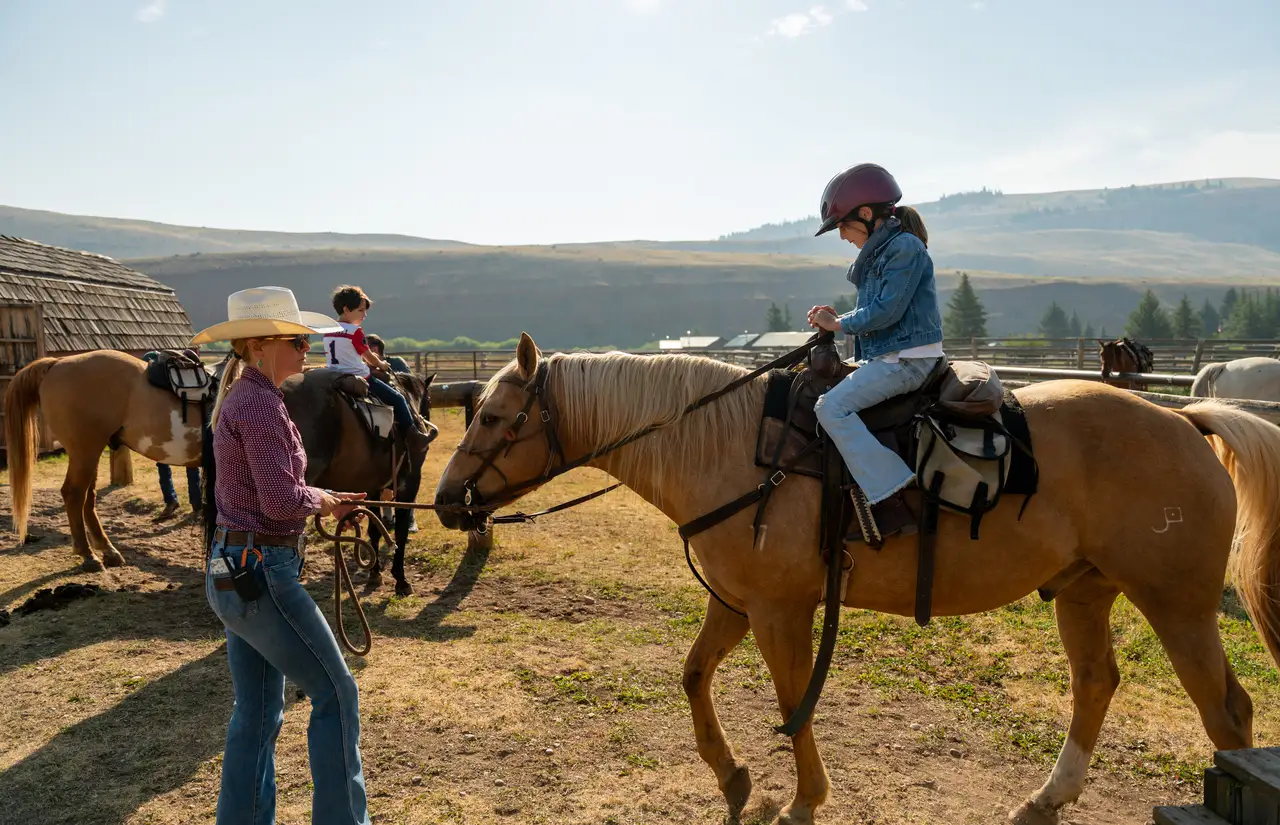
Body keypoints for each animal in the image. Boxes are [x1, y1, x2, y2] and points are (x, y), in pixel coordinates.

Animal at [435, 332, 1280, 823]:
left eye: (492, 417)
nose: (445, 500)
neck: (729, 448)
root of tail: (1185, 420)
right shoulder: (737, 604)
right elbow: (693, 675)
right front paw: (736, 778)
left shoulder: (779, 610)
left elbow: (792, 701)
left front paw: (804, 797)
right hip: (1084, 589)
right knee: (1097, 682)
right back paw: (1046, 797)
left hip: (1177, 605)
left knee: (1228, 712)